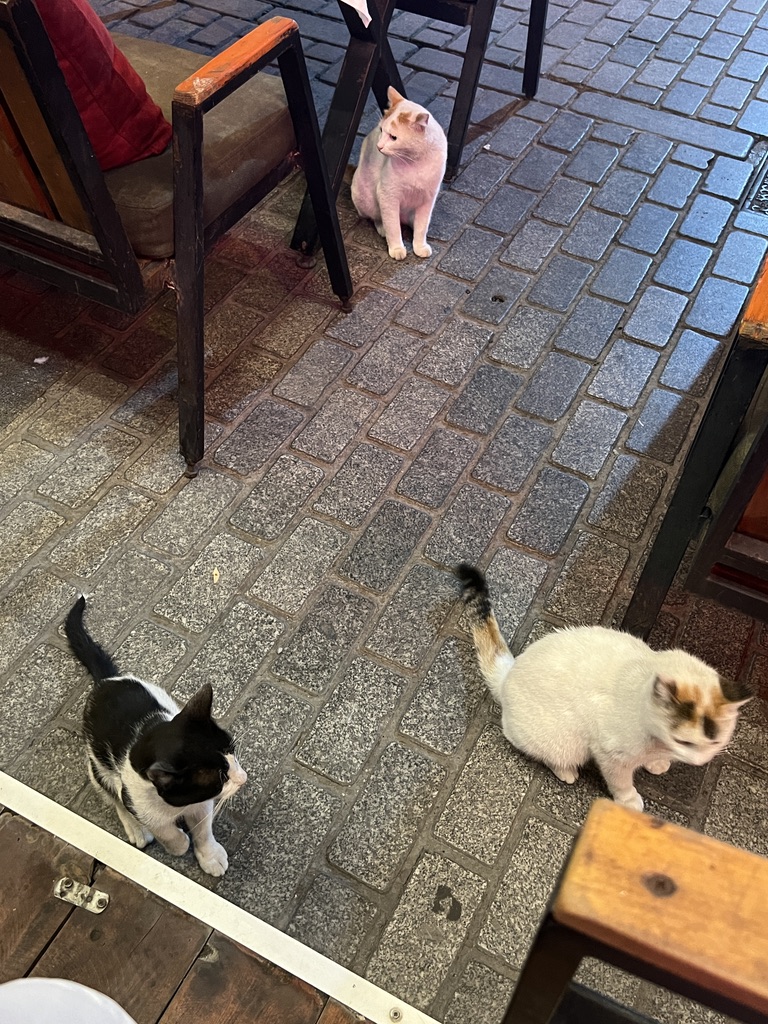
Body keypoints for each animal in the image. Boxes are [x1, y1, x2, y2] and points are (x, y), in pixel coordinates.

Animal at [66, 598, 247, 876]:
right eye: (221, 778)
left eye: (232, 752)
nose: (244, 778)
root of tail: (106, 680)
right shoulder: (135, 796)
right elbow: (166, 832)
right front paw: (178, 842)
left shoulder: (201, 804)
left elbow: (203, 828)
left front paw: (210, 856)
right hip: (96, 765)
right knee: (111, 793)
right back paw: (136, 829)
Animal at [352, 86, 448, 260]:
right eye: (381, 130)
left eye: (393, 137)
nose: (379, 146)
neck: (416, 162)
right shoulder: (388, 195)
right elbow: (393, 226)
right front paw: (397, 247)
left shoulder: (428, 198)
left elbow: (422, 226)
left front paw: (419, 246)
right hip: (368, 199)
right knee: (378, 218)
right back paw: (382, 228)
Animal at [456, 565, 753, 811]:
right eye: (685, 742)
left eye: (715, 742)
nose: (699, 762)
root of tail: (509, 674)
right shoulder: (610, 753)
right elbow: (620, 781)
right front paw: (629, 799)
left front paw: (656, 763)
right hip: (564, 742)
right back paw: (565, 771)